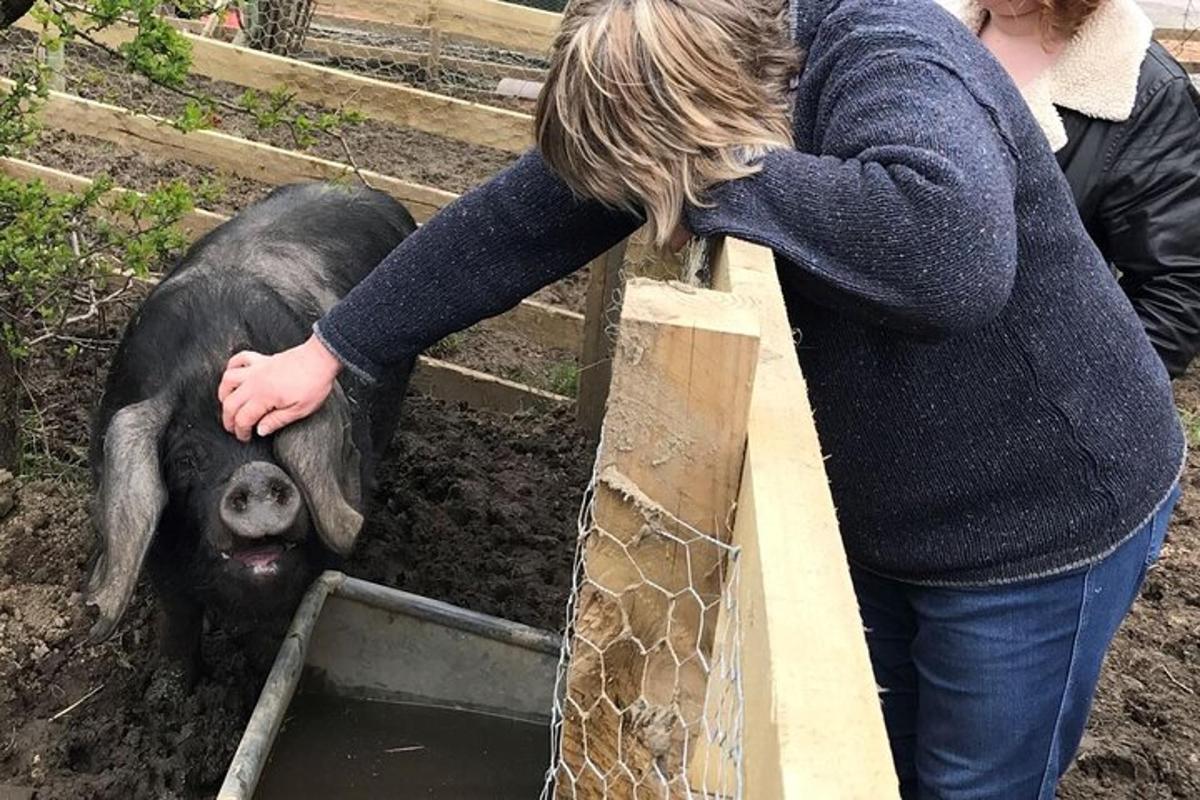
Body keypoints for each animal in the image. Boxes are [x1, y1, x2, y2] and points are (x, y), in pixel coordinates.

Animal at [84, 183, 412, 676]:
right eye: (186, 459)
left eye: (273, 437)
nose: (254, 477)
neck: (214, 355)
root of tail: (364, 188)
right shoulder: (163, 563)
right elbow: (179, 622)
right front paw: (175, 681)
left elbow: (274, 635)